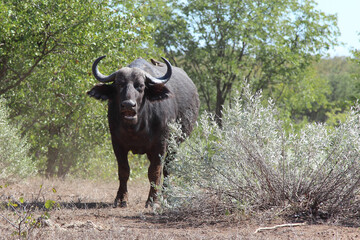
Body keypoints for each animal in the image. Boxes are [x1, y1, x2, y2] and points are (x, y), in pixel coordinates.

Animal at [87, 55, 200, 207]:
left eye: (140, 86)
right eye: (119, 84)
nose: (128, 105)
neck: (137, 127)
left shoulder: (160, 144)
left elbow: (154, 172)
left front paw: (153, 201)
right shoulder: (117, 144)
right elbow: (124, 170)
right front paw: (121, 198)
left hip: (175, 144)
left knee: (167, 168)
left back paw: (165, 194)